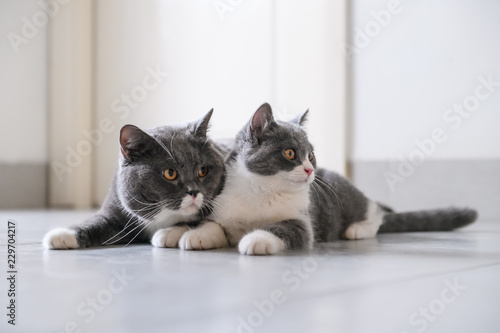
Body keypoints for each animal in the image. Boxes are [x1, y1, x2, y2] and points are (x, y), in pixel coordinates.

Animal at [42, 110, 227, 248]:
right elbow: (96, 221)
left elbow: (202, 220)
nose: (194, 191)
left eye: (203, 170)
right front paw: (62, 235)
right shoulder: (115, 210)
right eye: (170, 173)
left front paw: (171, 233)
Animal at [179, 103, 476, 254]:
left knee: (376, 211)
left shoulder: (302, 223)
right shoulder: (222, 205)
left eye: (310, 155)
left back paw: (358, 229)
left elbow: (282, 229)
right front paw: (195, 236)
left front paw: (255, 240)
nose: (310, 170)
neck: (262, 191)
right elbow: (213, 224)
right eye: (290, 153)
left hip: (351, 198)